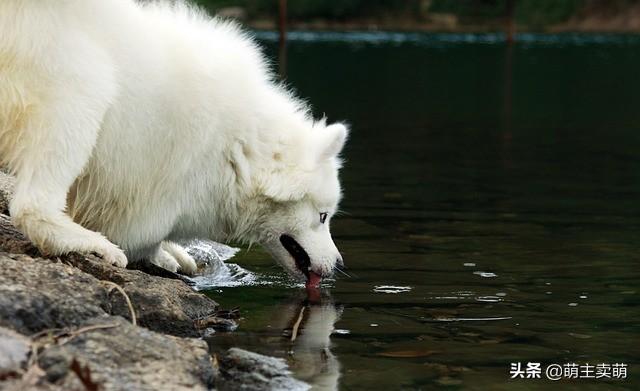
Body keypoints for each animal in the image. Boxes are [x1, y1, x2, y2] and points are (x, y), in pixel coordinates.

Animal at [0, 0, 344, 288]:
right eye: (323, 216)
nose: (340, 264)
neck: (240, 146)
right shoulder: (160, 179)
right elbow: (142, 234)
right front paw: (158, 252)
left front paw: (171, 253)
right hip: (83, 91)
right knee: (31, 206)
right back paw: (90, 243)